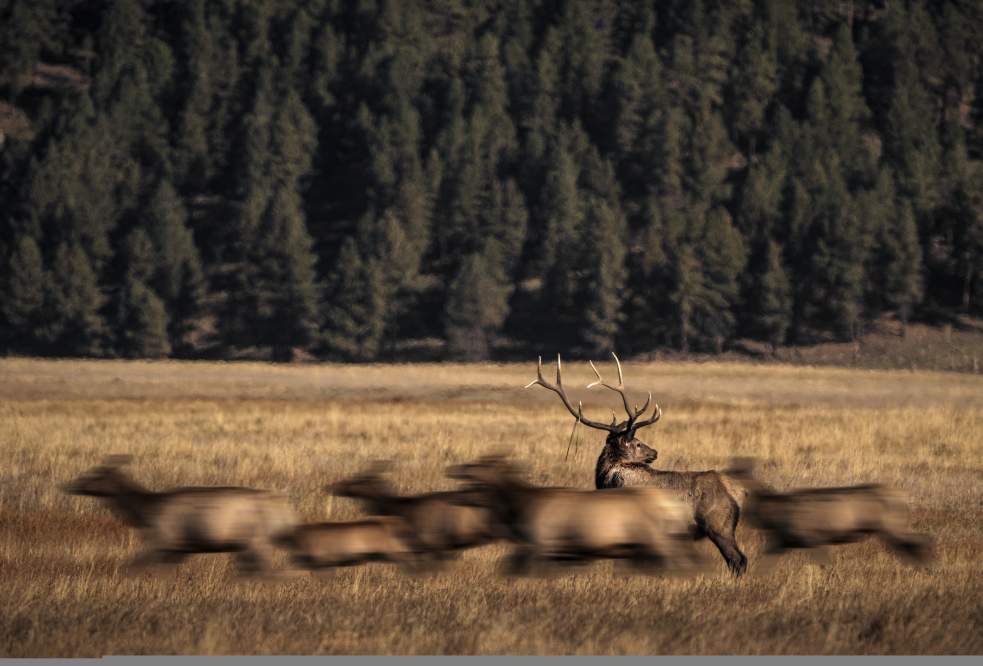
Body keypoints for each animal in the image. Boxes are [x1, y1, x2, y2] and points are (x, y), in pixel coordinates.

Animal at [61, 455, 300, 577]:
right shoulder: (180, 549)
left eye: (94, 475)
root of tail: (284, 510)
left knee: (266, 571)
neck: (144, 512)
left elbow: (133, 567)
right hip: (248, 543)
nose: (68, 485)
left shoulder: (163, 540)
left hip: (257, 539)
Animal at [445, 455, 706, 576]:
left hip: (657, 538)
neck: (521, 505)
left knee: (682, 563)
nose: (455, 468)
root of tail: (674, 508)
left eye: (480, 466)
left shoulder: (542, 542)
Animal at [525, 353, 749, 576]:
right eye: (638, 443)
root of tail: (737, 491)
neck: (609, 480)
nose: (655, 452)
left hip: (719, 526)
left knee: (738, 559)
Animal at [727, 458, 934, 568]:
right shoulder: (782, 542)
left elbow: (825, 564)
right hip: (888, 529)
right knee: (909, 546)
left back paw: (929, 566)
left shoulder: (812, 539)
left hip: (891, 525)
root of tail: (901, 496)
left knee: (919, 541)